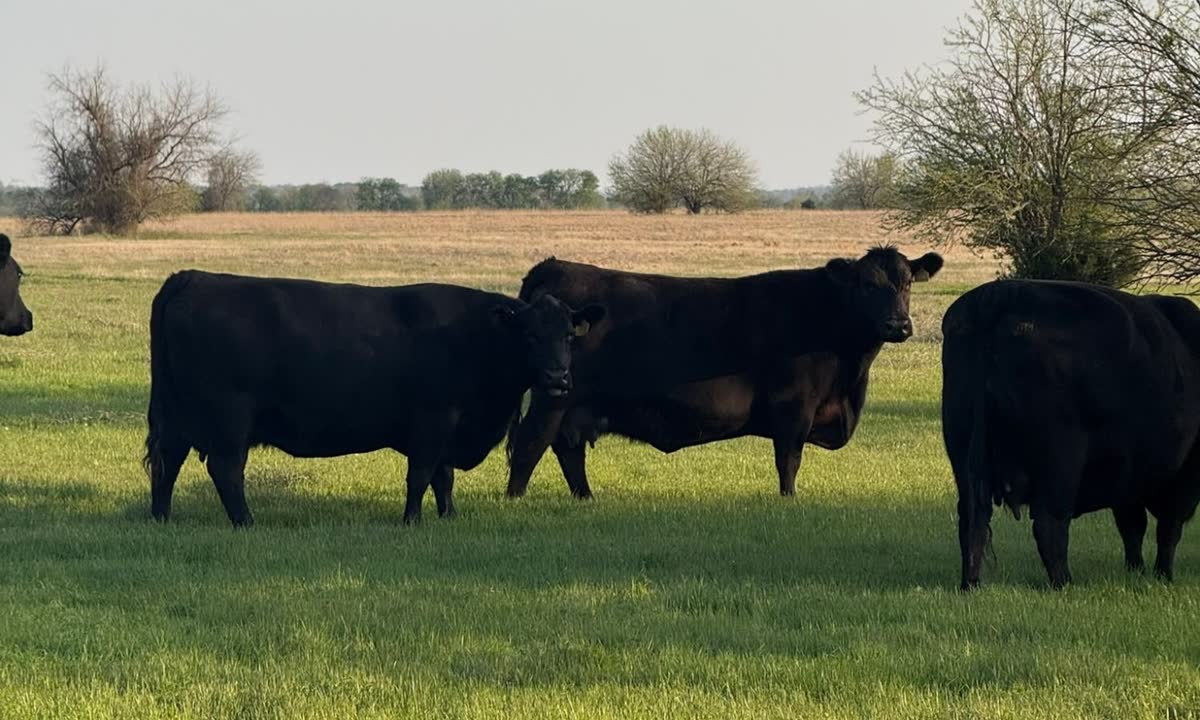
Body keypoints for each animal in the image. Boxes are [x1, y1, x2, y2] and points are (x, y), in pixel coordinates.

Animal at [143, 271, 604, 527]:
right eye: (530, 336)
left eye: (568, 335)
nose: (558, 378)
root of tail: (194, 276)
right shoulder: (434, 419)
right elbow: (421, 474)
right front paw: (411, 520)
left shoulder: (447, 427)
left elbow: (443, 478)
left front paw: (449, 516)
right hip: (229, 417)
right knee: (226, 470)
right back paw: (246, 522)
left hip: (179, 416)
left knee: (167, 464)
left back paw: (161, 517)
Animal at [504, 246, 943, 500]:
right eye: (868, 285)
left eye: (907, 282)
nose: (898, 325)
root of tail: (554, 266)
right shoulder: (793, 407)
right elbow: (788, 461)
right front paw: (789, 501)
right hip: (553, 395)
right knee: (529, 446)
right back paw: (515, 500)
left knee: (568, 449)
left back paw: (586, 498)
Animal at [943, 279, 1200, 589]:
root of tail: (999, 294)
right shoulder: (1184, 476)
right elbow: (1167, 529)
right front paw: (1163, 575)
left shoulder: (1128, 479)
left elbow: (1132, 527)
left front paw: (1136, 571)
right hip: (1060, 461)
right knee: (1049, 523)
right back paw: (1064, 582)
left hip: (963, 452)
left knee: (972, 521)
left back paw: (971, 584)